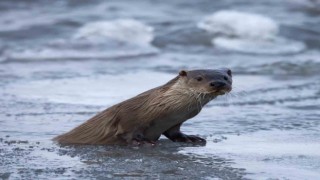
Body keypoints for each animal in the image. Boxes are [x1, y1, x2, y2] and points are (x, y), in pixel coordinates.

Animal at [53, 68, 232, 146]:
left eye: (225, 77)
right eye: (199, 78)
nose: (218, 83)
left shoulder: (174, 123)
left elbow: (174, 133)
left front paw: (190, 138)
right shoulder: (129, 116)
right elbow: (127, 131)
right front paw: (143, 141)